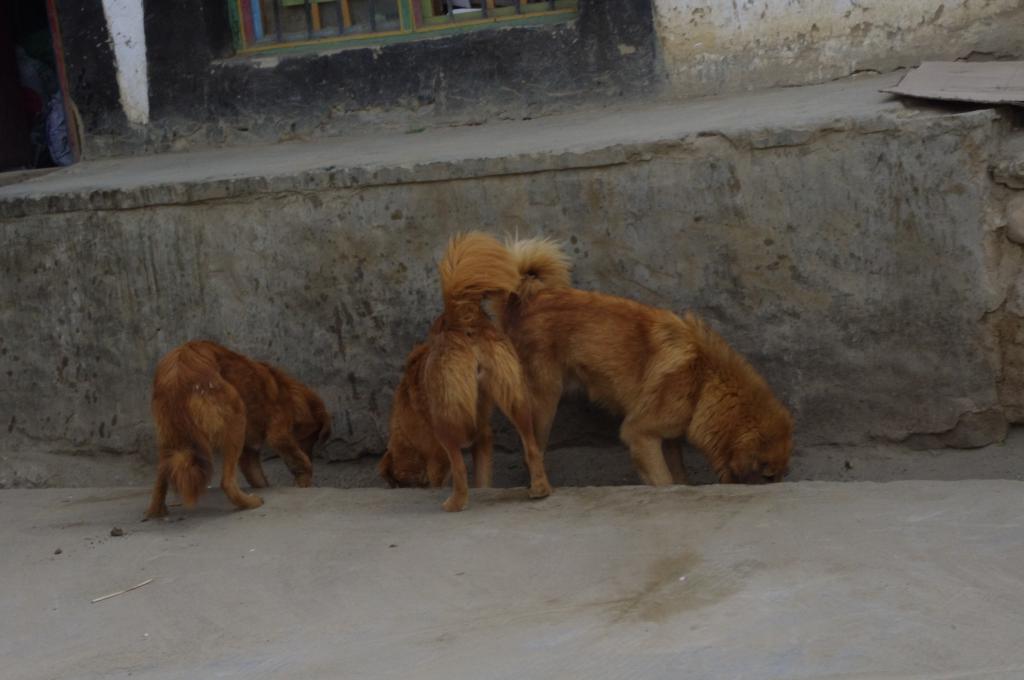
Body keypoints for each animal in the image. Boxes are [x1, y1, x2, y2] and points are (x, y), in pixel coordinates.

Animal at [146, 342, 329, 518]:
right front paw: (304, 480)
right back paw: (250, 503)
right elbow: (298, 460)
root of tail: (178, 370)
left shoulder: (250, 450)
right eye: (313, 438)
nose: (313, 457)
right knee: (226, 482)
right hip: (237, 418)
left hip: (170, 438)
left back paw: (155, 511)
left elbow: (258, 477)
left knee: (162, 476)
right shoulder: (278, 434)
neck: (289, 393)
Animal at [378, 232, 552, 510]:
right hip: (516, 398)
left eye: (398, 483)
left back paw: (455, 503)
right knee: (532, 447)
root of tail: (462, 319)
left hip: (445, 422)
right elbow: (483, 479)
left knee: (459, 468)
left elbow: (449, 472)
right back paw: (539, 488)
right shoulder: (483, 438)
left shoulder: (436, 457)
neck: (404, 425)